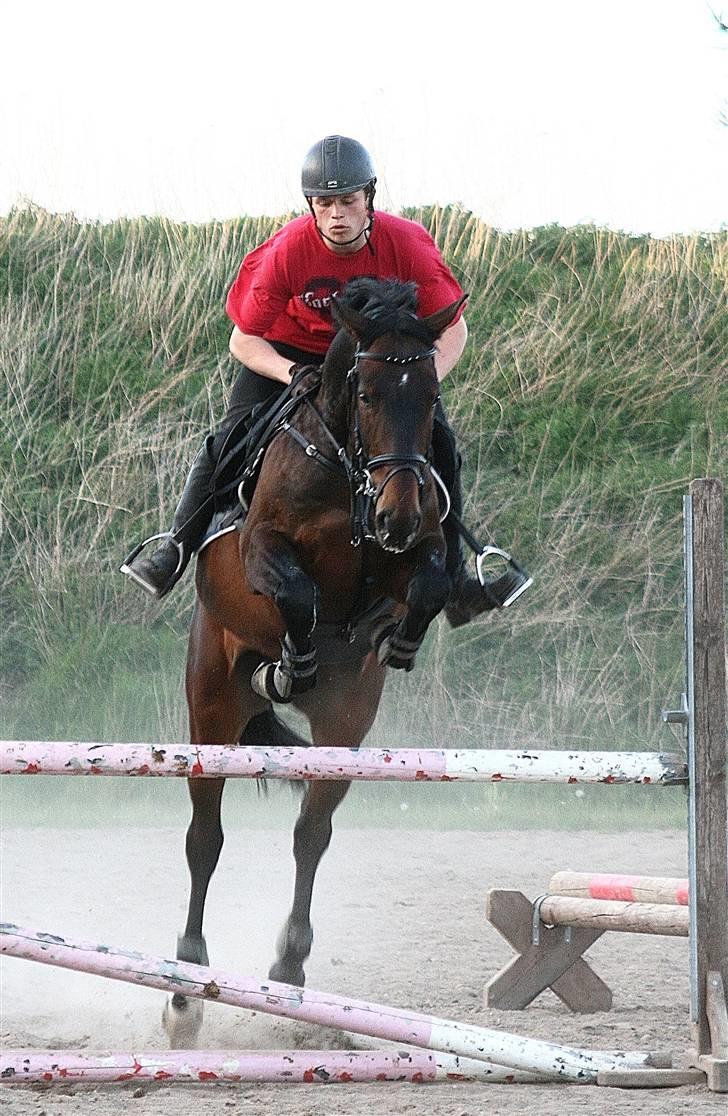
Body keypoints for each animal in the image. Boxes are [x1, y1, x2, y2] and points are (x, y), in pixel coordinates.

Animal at [161, 276, 464, 1044]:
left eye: (431, 397)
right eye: (367, 394)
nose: (396, 514)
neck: (347, 471)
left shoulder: (419, 547)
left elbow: (429, 579)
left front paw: (399, 636)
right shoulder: (262, 551)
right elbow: (295, 589)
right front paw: (290, 660)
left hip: (345, 723)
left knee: (311, 834)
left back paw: (289, 971)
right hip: (211, 705)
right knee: (204, 838)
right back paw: (185, 989)